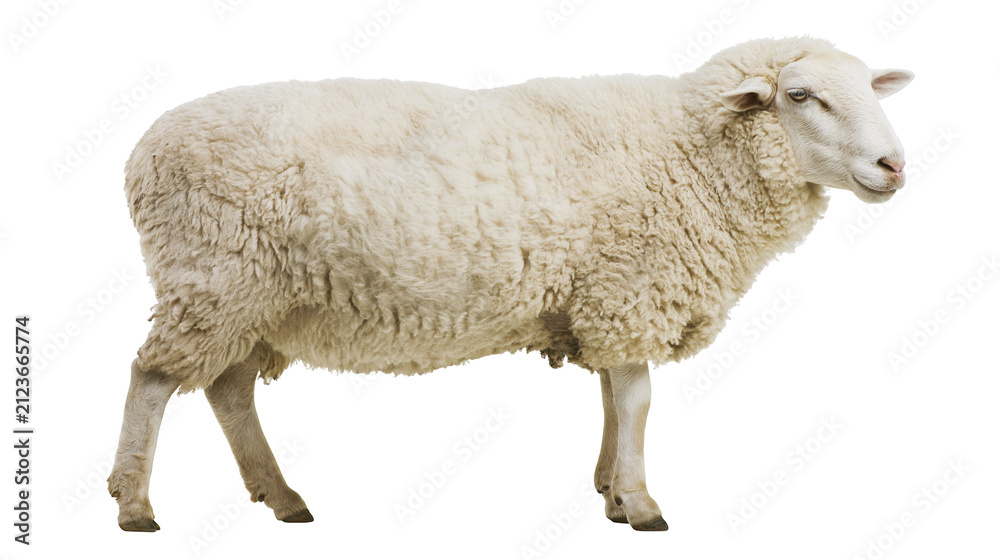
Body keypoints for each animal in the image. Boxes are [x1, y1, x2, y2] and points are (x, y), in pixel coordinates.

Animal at [109, 36, 913, 532]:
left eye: (871, 89)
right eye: (801, 95)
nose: (894, 166)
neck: (691, 149)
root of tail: (143, 151)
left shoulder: (600, 295)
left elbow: (612, 399)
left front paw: (609, 489)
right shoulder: (629, 287)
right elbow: (638, 400)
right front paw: (641, 503)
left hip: (253, 297)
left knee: (226, 389)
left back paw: (280, 495)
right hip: (212, 276)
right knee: (153, 380)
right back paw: (135, 504)